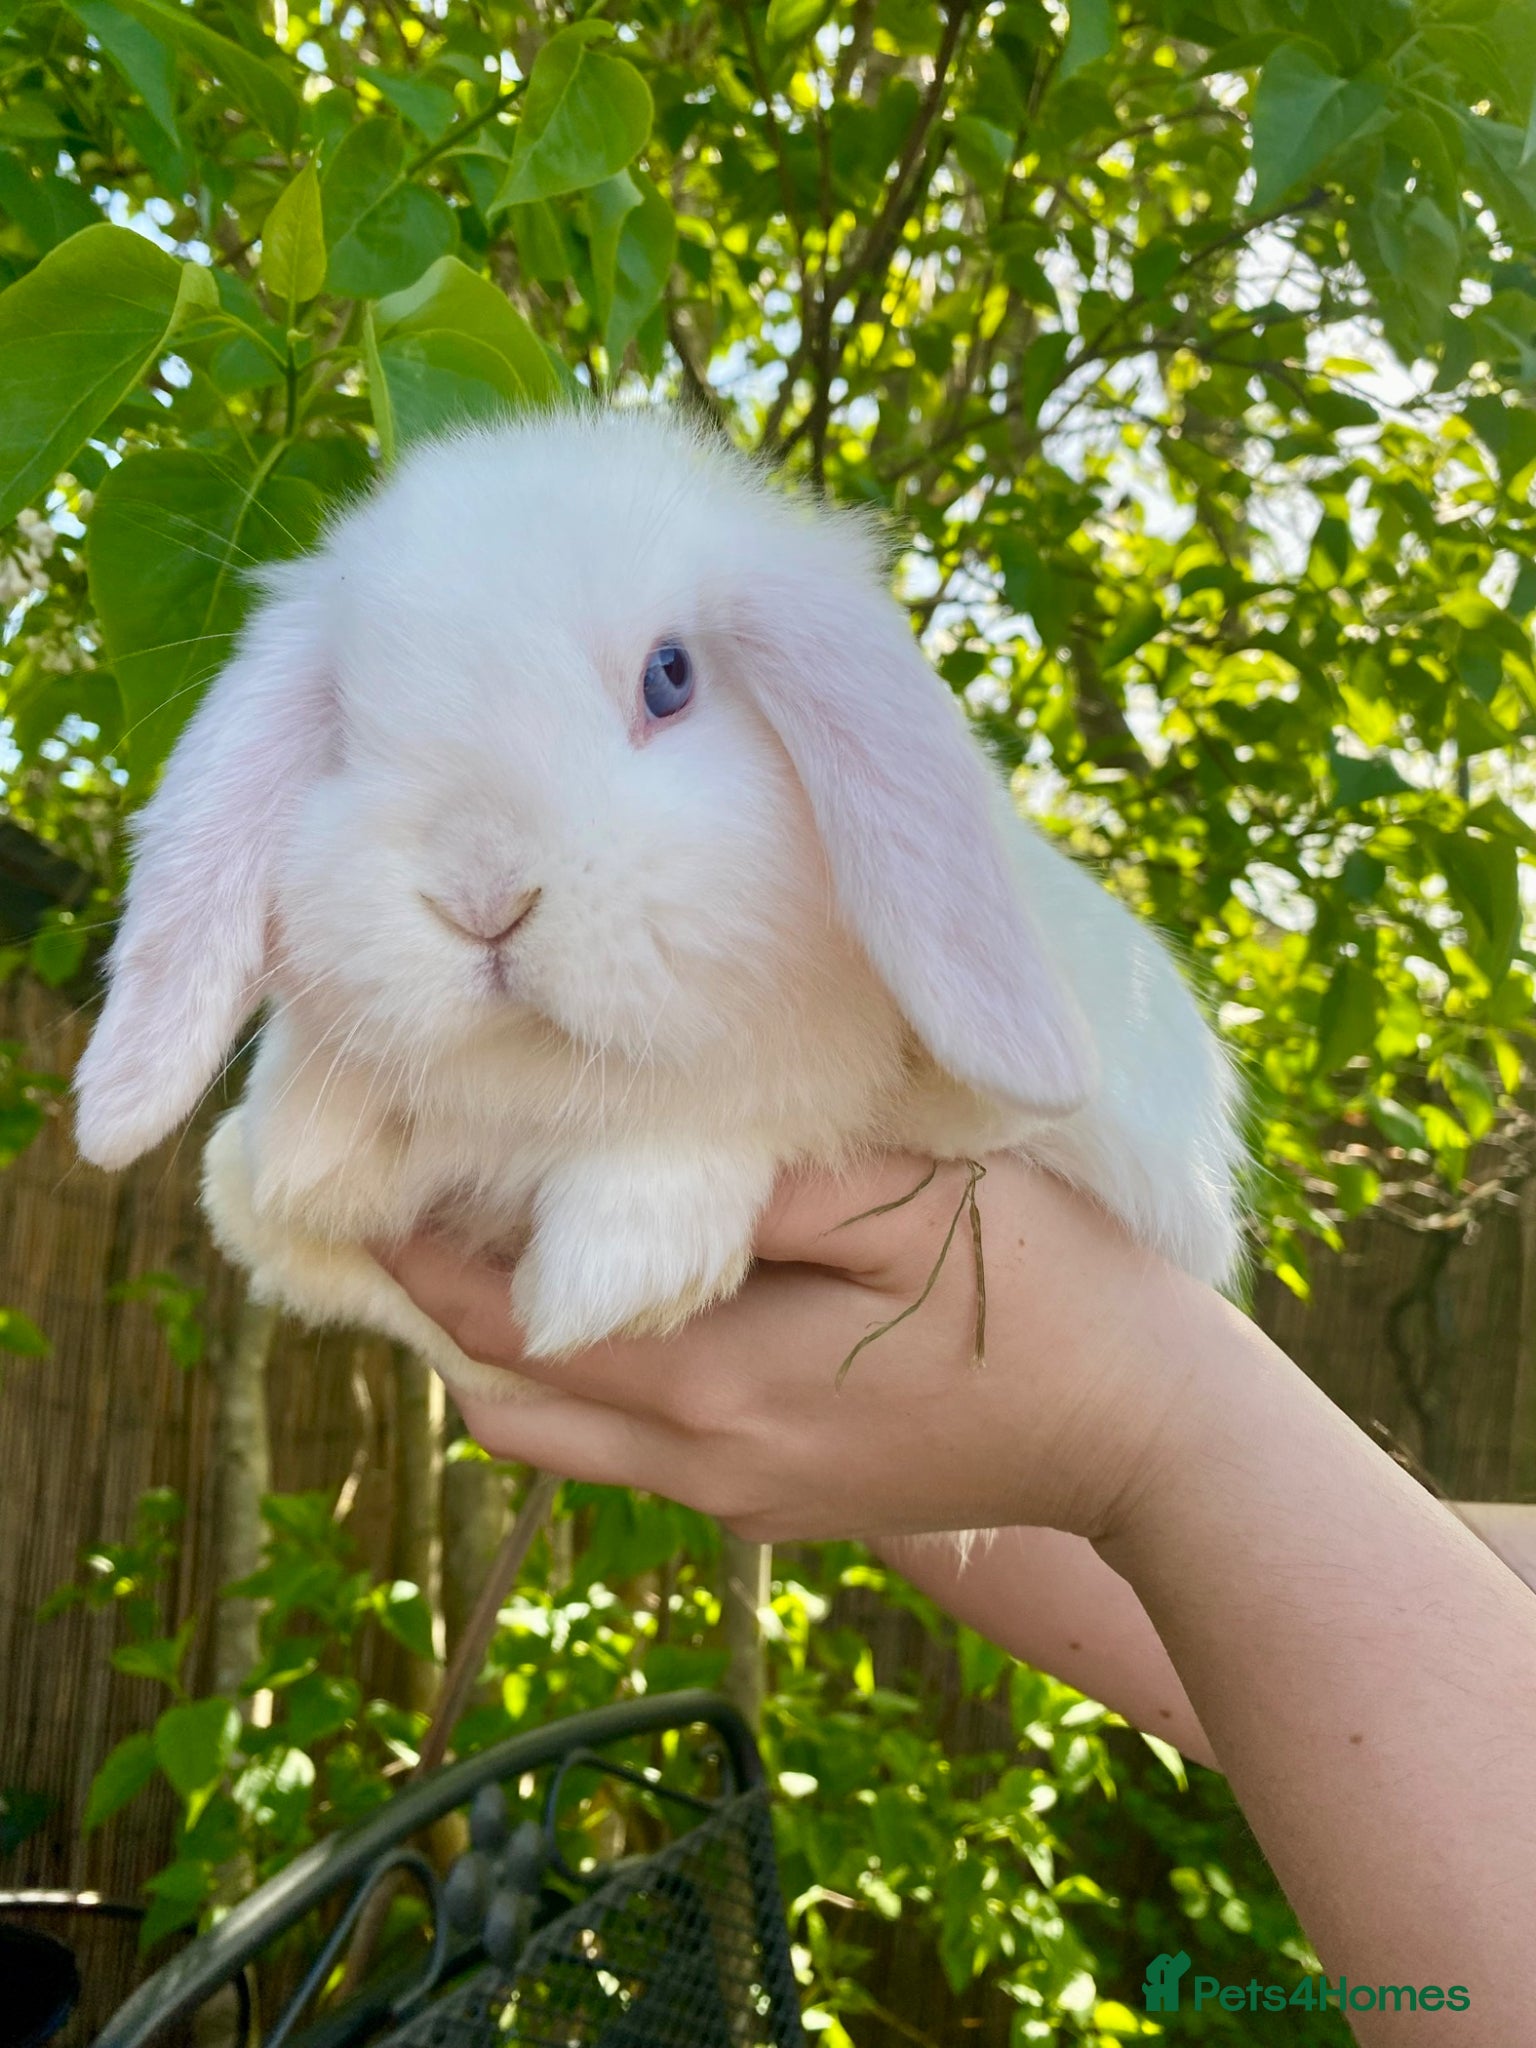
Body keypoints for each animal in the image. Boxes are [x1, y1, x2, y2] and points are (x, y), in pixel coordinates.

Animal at [74, 406, 1242, 1405]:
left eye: (669, 678)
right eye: (346, 730)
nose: (483, 898)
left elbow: (785, 1101)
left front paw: (617, 1263)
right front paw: (316, 1146)